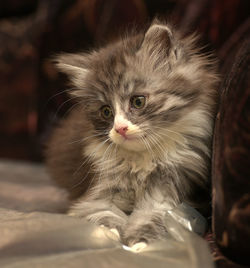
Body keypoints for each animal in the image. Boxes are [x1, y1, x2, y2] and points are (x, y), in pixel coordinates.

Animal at [46, 21, 218, 247]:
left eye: (138, 101)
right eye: (106, 112)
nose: (120, 128)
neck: (142, 160)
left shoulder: (171, 188)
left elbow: (153, 216)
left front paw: (140, 242)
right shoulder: (97, 190)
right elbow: (101, 212)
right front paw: (110, 232)